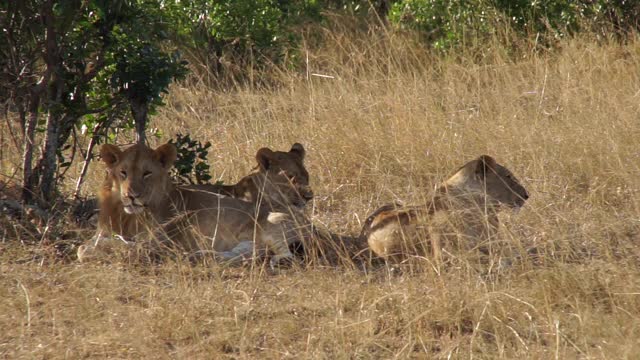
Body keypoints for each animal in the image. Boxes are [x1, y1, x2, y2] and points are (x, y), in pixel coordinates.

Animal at [77, 141, 316, 268]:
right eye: (123, 173)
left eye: (147, 173)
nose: (131, 195)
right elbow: (83, 248)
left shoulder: (160, 240)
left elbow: (132, 248)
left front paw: (113, 246)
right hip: (250, 241)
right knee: (247, 254)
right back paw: (200, 256)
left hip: (273, 223)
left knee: (285, 256)